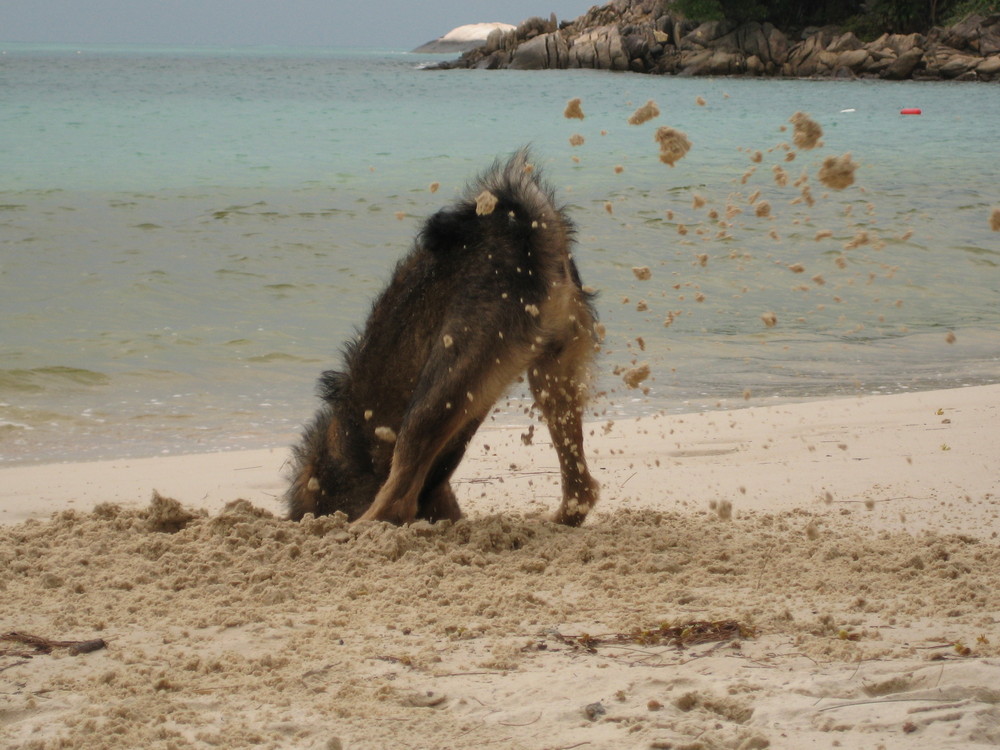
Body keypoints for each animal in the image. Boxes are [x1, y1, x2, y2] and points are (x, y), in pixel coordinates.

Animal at [288, 148, 600, 528]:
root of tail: (526, 231)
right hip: (552, 376)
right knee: (580, 490)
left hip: (443, 381)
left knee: (397, 500)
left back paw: (360, 528)